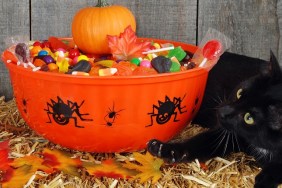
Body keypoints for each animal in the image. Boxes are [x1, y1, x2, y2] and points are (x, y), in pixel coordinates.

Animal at [147, 51, 282, 188]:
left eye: (248, 118)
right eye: (239, 93)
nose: (222, 111)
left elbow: (277, 167)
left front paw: (264, 180)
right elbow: (197, 143)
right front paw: (163, 149)